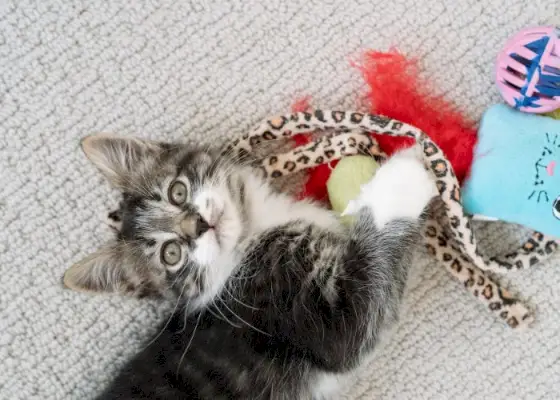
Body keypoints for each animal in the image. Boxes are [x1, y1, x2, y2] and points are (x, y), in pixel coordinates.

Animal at [63, 135, 436, 400]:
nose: (198, 225)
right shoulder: (329, 319)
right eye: (171, 254)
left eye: (177, 192)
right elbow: (366, 301)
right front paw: (403, 175)